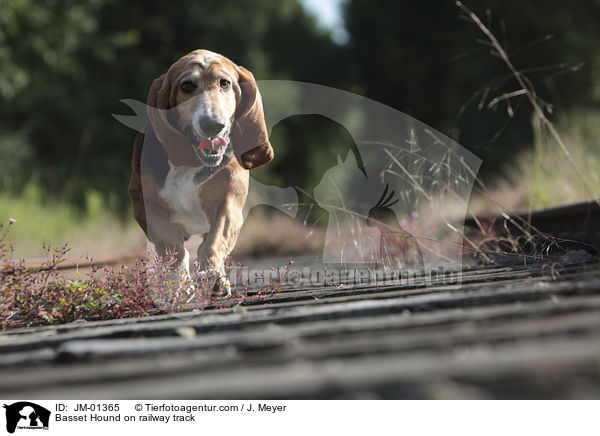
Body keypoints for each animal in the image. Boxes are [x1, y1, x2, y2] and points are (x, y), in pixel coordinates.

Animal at [130, 49, 276, 294]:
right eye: (187, 86)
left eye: (224, 83)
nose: (212, 124)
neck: (191, 163)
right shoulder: (148, 208)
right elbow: (173, 248)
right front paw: (180, 284)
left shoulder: (229, 204)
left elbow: (214, 241)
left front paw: (212, 275)